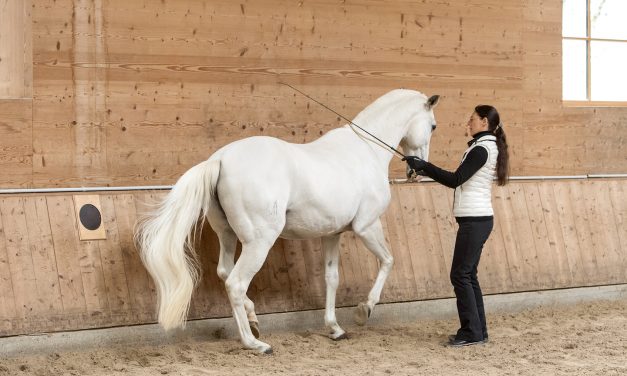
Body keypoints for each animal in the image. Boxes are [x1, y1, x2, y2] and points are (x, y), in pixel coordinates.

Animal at [137, 88, 442, 352]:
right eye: (433, 126)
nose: (417, 170)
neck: (366, 151)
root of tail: (221, 159)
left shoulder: (332, 234)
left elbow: (332, 278)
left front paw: (335, 328)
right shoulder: (367, 226)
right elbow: (388, 261)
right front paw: (363, 310)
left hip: (228, 235)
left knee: (225, 272)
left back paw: (254, 321)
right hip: (259, 242)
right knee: (235, 283)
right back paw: (255, 344)